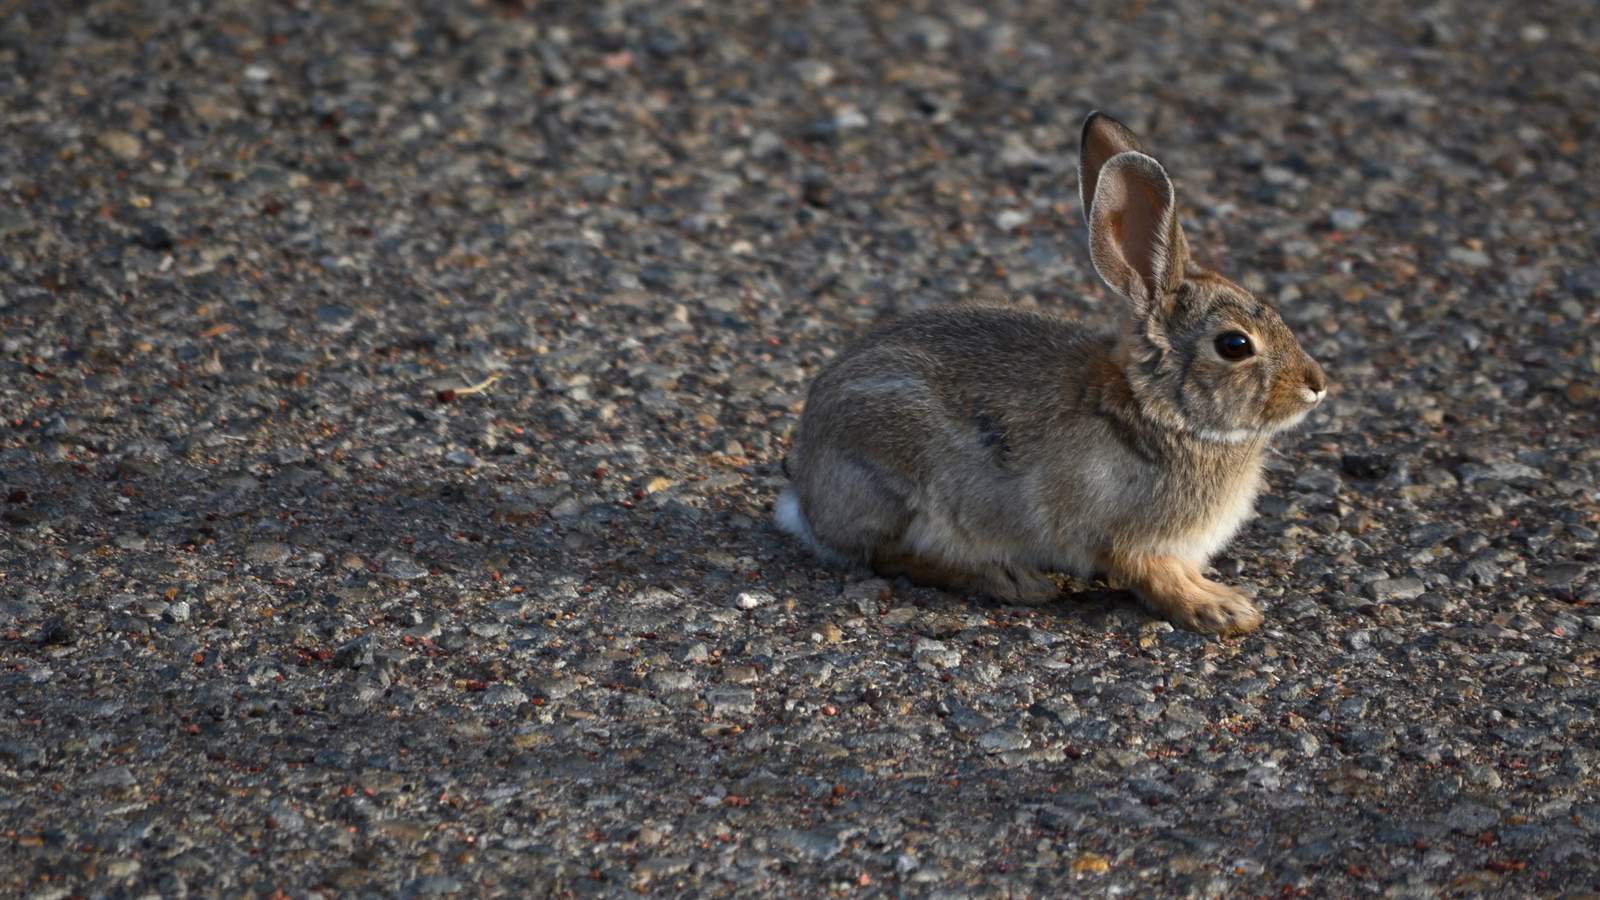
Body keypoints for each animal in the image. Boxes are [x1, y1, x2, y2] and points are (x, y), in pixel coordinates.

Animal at [775, 111, 1327, 635]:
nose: (1316, 386)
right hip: (899, 479)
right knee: (891, 556)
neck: (1158, 407)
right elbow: (1151, 574)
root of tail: (806, 499)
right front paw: (1219, 610)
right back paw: (1012, 579)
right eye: (1235, 345)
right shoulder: (1125, 538)